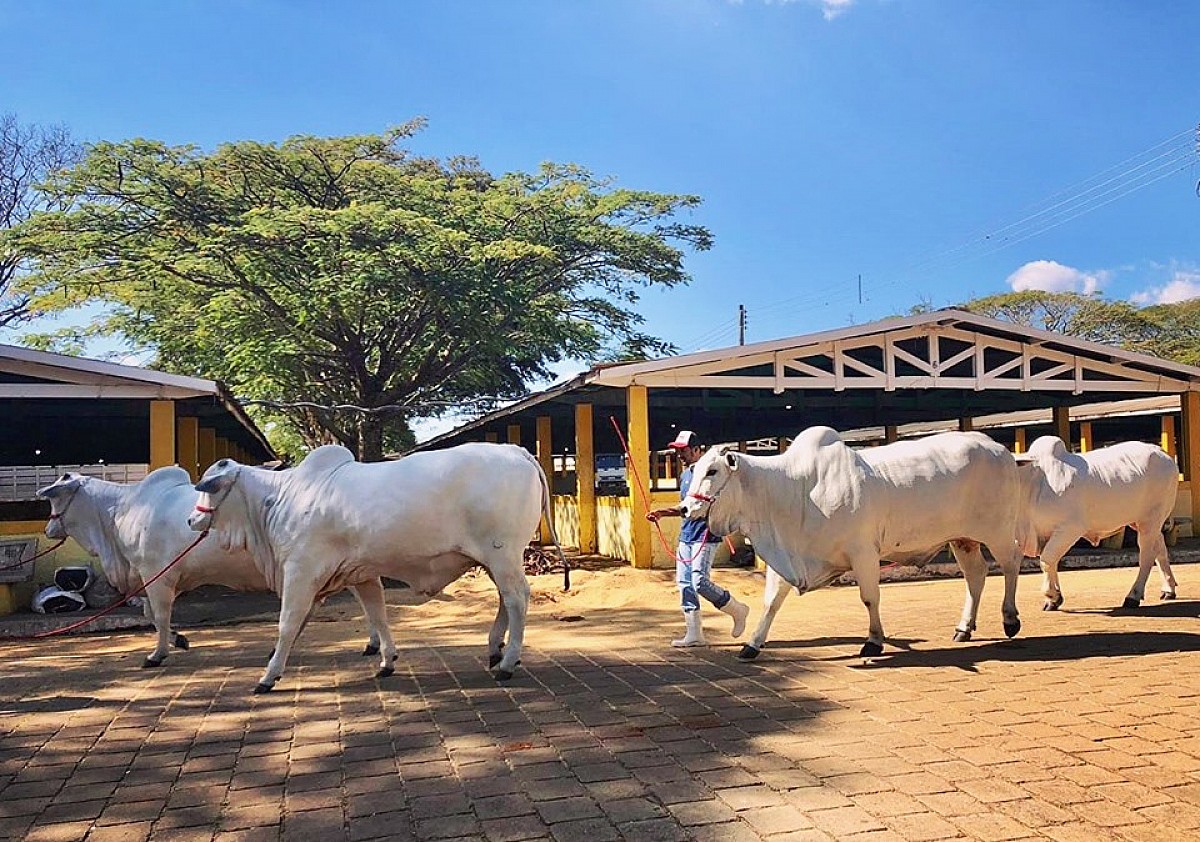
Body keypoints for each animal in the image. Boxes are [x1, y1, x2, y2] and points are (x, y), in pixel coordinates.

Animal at [36, 467, 393, 671]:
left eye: (54, 498)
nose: (49, 530)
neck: (118, 512)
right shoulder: (151, 577)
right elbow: (151, 615)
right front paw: (179, 640)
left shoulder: (155, 574)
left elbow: (158, 615)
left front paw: (158, 653)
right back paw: (373, 645)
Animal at [187, 441, 561, 690]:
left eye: (209, 487)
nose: (192, 520)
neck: (277, 498)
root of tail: (515, 451)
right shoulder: (361, 574)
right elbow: (377, 615)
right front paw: (387, 661)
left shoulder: (300, 570)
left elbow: (287, 624)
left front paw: (268, 675)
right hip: (496, 559)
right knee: (505, 599)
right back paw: (496, 650)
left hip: (502, 554)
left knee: (516, 599)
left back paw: (508, 663)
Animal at [681, 429, 1027, 662]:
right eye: (695, 470)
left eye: (712, 470)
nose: (685, 508)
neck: (797, 489)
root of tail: (1000, 449)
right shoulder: (785, 560)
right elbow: (771, 603)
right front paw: (752, 644)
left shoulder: (863, 553)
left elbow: (869, 598)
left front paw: (874, 641)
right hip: (962, 538)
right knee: (976, 575)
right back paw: (964, 627)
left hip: (998, 529)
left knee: (1011, 562)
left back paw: (1010, 619)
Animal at [1017, 438, 1176, 609]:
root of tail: (1161, 452)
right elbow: (1050, 562)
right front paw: (1053, 599)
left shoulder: (1069, 529)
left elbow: (1047, 560)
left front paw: (1053, 596)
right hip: (1142, 522)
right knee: (1160, 548)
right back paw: (1168, 590)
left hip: (1150, 520)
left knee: (1147, 556)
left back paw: (1133, 596)